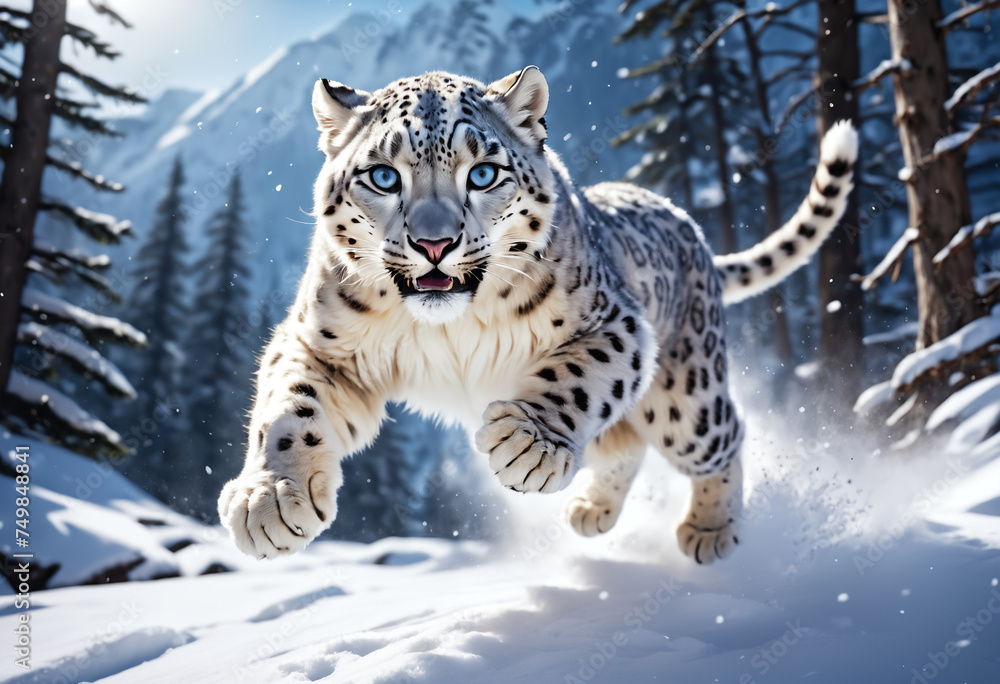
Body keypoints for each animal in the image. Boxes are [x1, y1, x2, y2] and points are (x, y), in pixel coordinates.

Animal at [217, 66, 857, 564]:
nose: (434, 243)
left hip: (685, 398)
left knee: (723, 433)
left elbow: (577, 375)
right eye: (383, 175)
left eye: (482, 173)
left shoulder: (615, 324)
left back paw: (710, 529)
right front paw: (269, 500)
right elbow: (289, 405)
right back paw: (591, 509)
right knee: (624, 444)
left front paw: (528, 442)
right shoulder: (319, 341)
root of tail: (685, 220)